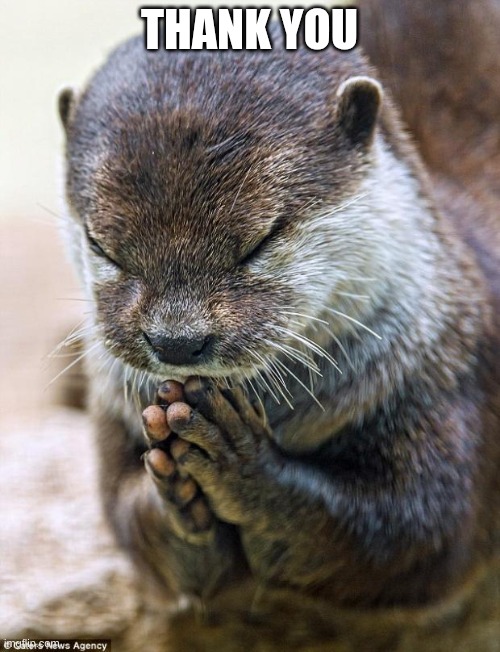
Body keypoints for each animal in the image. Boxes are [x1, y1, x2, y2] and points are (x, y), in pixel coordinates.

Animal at [58, 0, 500, 649]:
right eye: (102, 246)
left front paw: (242, 465)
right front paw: (174, 498)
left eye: (260, 241)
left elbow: (415, 533)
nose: (177, 341)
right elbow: (128, 518)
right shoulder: (112, 410)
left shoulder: (450, 374)